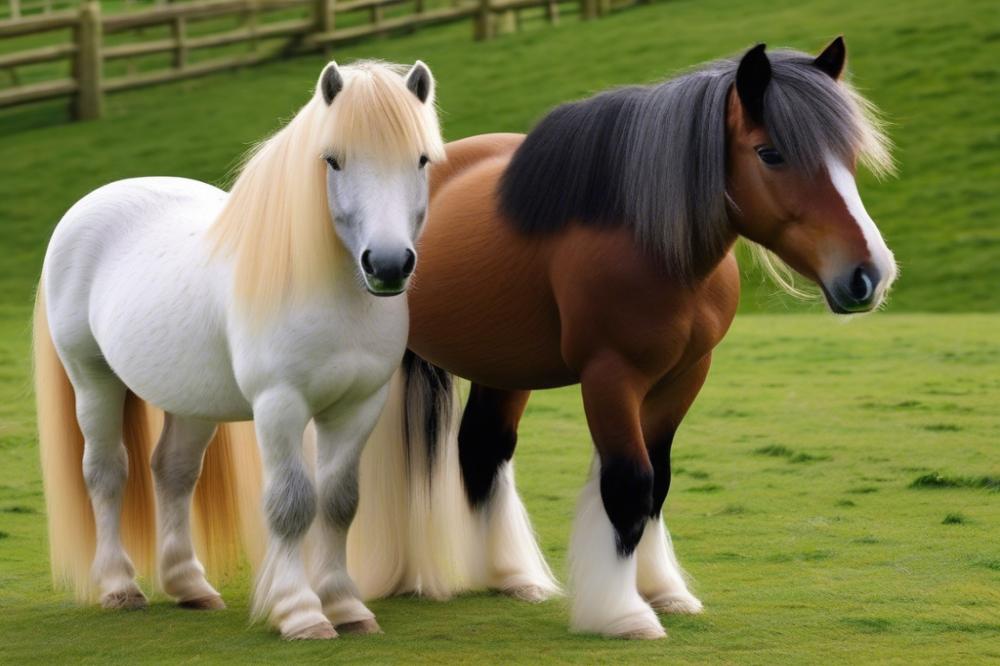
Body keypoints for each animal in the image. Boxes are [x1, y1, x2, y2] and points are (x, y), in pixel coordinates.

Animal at [33, 61, 444, 640]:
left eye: (421, 158)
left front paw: (346, 607)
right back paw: (119, 586)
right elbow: (292, 504)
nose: (386, 265)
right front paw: (302, 613)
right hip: (92, 380)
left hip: (190, 401)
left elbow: (339, 503)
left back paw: (189, 585)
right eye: (332, 159)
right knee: (107, 471)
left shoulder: (358, 407)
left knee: (173, 472)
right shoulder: (280, 406)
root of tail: (91, 204)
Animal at [223, 37, 896, 640]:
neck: (647, 236)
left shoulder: (683, 377)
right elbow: (628, 483)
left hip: (501, 368)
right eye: (770, 152)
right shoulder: (610, 377)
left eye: (848, 153)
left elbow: (659, 482)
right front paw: (624, 613)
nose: (869, 273)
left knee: (481, 450)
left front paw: (664, 591)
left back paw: (511, 576)